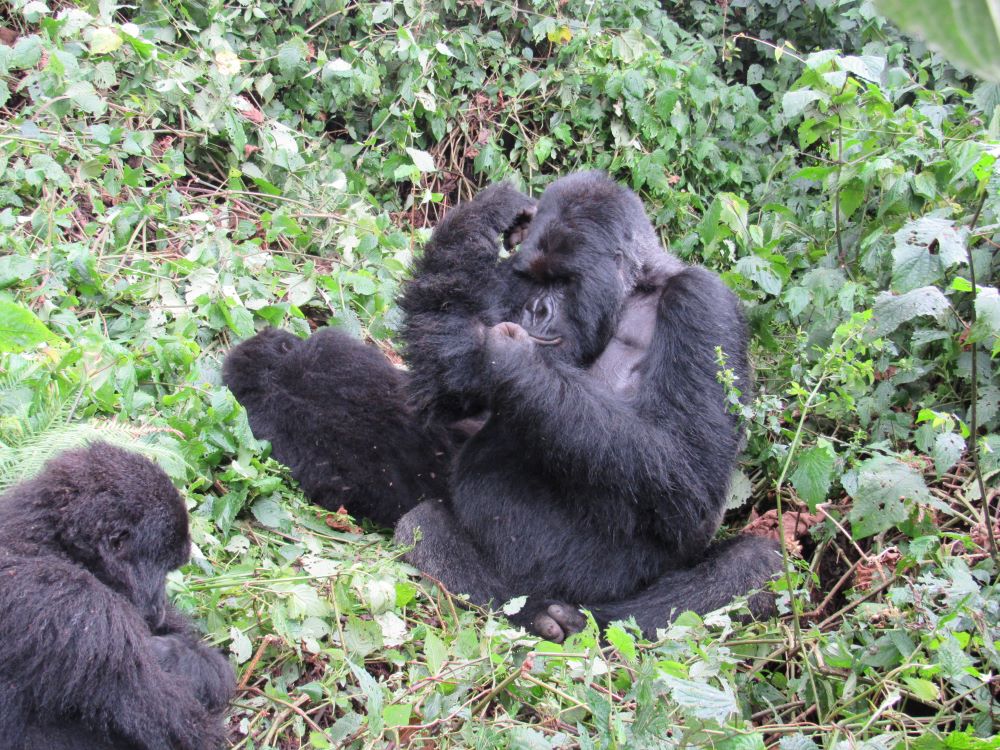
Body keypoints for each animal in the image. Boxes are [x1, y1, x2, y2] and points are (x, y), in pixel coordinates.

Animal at [0, 444, 235, 748]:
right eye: (164, 569)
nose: (160, 604)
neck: (57, 546)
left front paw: (174, 653)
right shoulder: (83, 608)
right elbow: (184, 730)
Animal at [394, 173, 784, 644]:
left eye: (563, 281)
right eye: (533, 280)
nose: (536, 309)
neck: (631, 294)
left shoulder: (703, 302)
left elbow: (689, 471)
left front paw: (512, 360)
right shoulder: (506, 282)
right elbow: (441, 381)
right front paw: (490, 212)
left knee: (758, 565)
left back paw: (592, 623)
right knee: (422, 527)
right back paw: (536, 615)